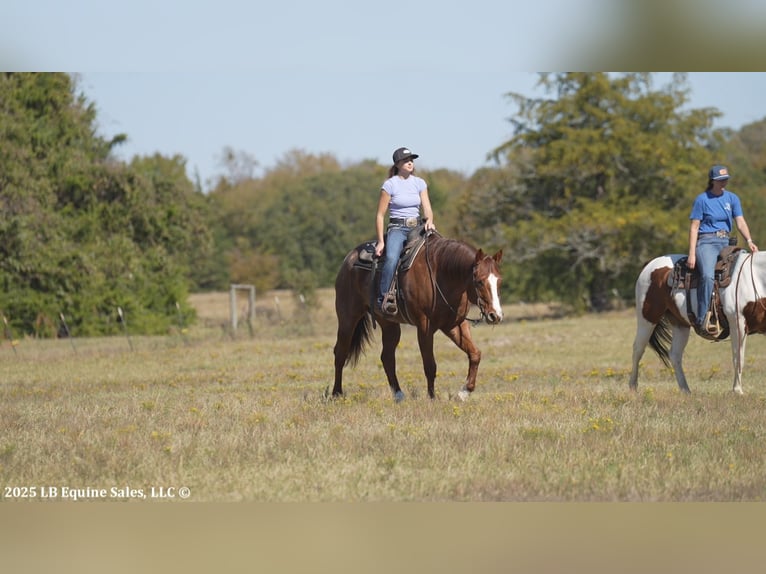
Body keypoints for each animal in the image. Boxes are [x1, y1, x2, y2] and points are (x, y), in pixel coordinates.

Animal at [332, 229, 503, 401]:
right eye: (479, 281)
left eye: (499, 281)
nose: (495, 315)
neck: (440, 274)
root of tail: (349, 258)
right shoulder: (424, 326)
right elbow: (430, 365)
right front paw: (432, 398)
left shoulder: (454, 325)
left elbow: (475, 354)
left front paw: (464, 392)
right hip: (348, 318)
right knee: (340, 353)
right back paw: (336, 393)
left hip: (389, 324)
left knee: (387, 357)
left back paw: (398, 395)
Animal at [629, 250, 766, 394]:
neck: (756, 278)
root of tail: (650, 265)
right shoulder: (737, 323)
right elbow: (738, 357)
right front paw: (737, 390)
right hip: (647, 318)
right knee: (638, 349)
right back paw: (633, 386)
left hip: (680, 324)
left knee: (675, 355)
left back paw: (685, 390)